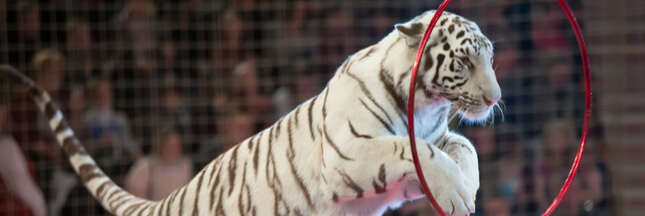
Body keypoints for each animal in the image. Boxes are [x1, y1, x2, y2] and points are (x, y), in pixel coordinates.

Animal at [0, 9, 498, 216]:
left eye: (490, 57)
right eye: (463, 62)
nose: (495, 99)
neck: (428, 104)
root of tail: (169, 201)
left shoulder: (432, 141)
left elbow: (464, 147)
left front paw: (465, 186)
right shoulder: (346, 155)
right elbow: (409, 149)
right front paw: (457, 193)